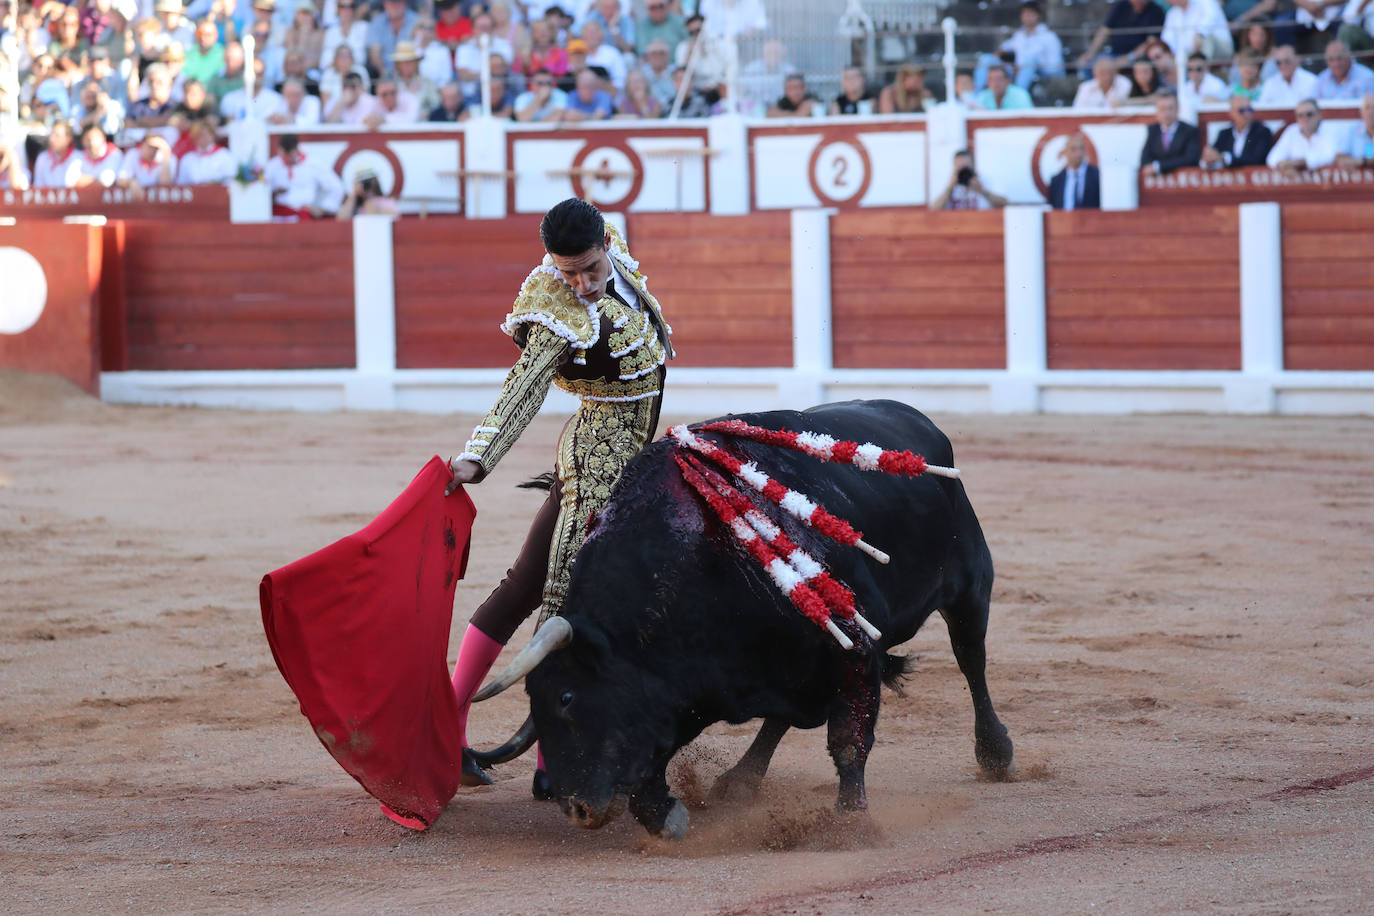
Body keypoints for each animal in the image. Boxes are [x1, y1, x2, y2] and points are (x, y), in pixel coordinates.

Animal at [483, 401, 1011, 840]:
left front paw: (851, 823)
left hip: (970, 583)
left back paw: (996, 754)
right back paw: (739, 780)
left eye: (566, 697)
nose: (576, 809)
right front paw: (669, 816)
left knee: (971, 658)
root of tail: (919, 421)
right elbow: (653, 760)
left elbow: (848, 739)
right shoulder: (686, 690)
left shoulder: (855, 649)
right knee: (783, 717)